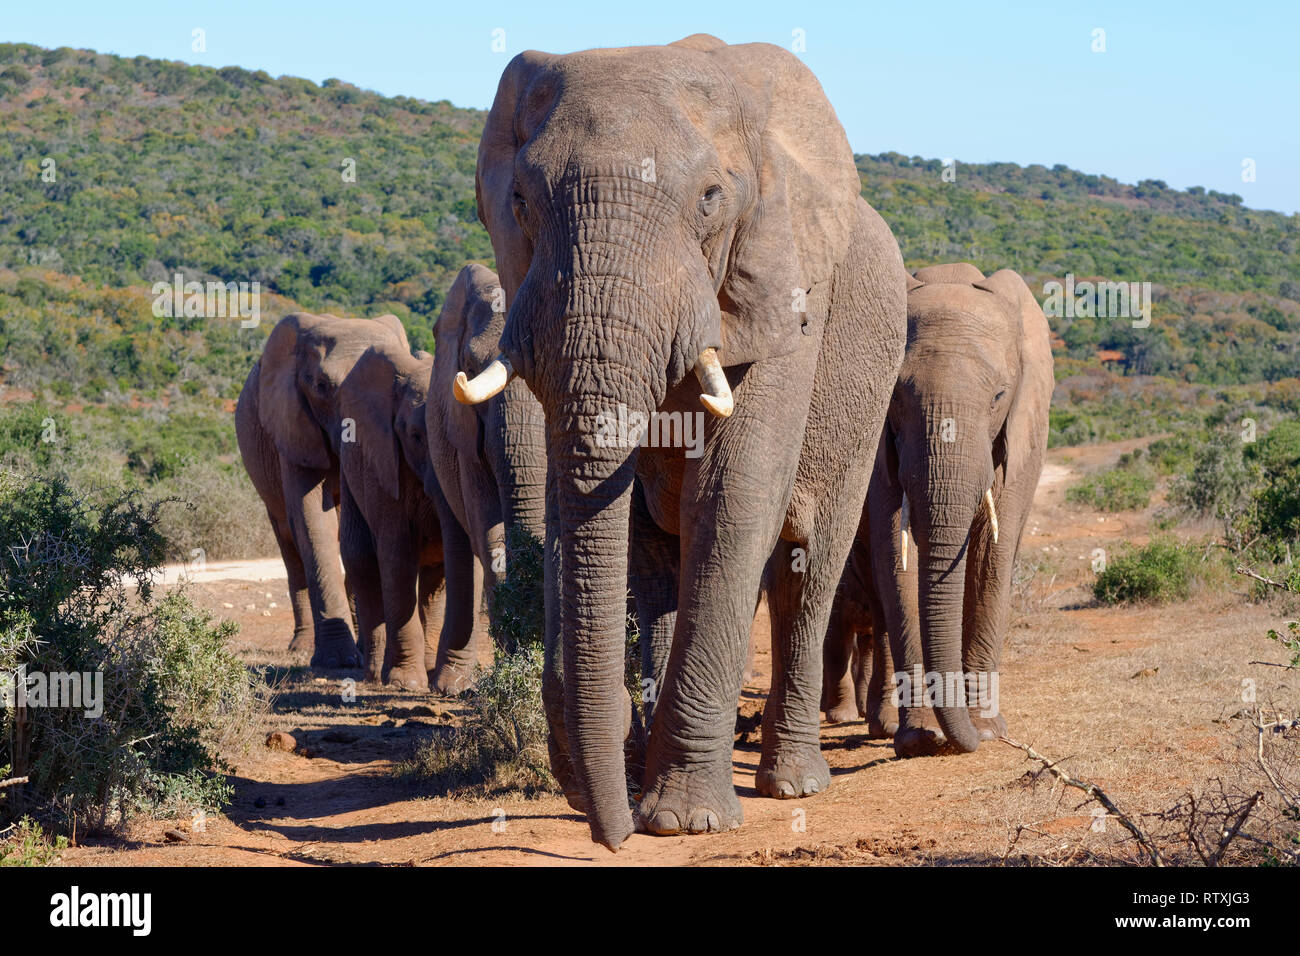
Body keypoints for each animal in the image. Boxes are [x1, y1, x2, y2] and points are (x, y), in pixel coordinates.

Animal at [236, 310, 408, 671]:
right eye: (321, 387)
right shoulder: (292, 423)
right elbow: (314, 520)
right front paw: (338, 661)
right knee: (289, 540)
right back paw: (300, 648)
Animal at [335, 348, 483, 691]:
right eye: (415, 436)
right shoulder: (383, 465)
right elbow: (396, 555)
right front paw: (405, 684)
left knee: (435, 583)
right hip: (351, 473)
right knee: (362, 560)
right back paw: (375, 676)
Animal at [454, 33, 904, 848]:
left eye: (709, 200)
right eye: (520, 202)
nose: (609, 832)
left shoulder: (787, 299)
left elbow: (731, 500)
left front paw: (684, 823)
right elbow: (590, 507)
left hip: (866, 391)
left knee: (806, 564)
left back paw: (793, 782)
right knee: (661, 565)